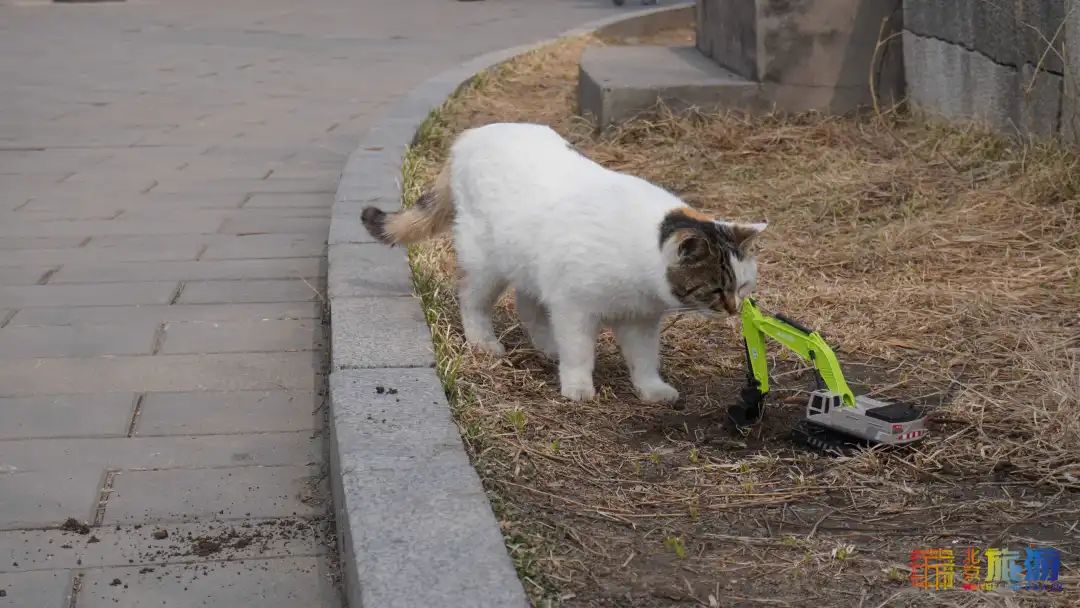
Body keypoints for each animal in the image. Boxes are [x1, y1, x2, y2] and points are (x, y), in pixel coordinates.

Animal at [358, 121, 764, 401]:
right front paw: (578, 386)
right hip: (487, 263)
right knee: (473, 301)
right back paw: (485, 342)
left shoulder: (640, 321)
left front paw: (652, 390)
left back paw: (546, 345)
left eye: (744, 285)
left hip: (531, 264)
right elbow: (580, 351)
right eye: (717, 288)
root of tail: (468, 137)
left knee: (529, 304)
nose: (734, 308)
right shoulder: (575, 307)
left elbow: (645, 359)